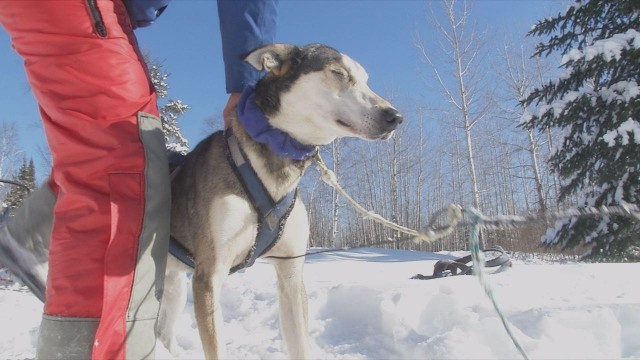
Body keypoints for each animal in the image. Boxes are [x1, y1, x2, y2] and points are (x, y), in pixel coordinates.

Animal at [158, 43, 402, 358]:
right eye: (338, 73)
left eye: (366, 80)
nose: (395, 117)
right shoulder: (209, 276)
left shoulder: (291, 272)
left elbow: (300, 344)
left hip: (173, 287)